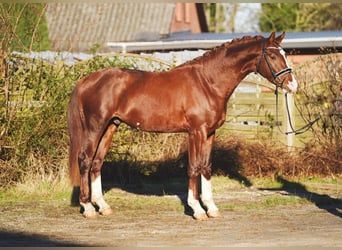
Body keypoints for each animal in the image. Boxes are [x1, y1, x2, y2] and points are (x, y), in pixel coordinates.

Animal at [66, 31, 296, 221]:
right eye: (273, 56)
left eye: (284, 54)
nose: (293, 85)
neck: (207, 82)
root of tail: (87, 80)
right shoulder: (196, 132)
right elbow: (194, 167)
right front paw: (197, 210)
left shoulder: (210, 133)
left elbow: (206, 167)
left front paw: (211, 208)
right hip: (95, 127)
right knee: (85, 160)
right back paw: (88, 208)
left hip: (110, 127)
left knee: (97, 162)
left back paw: (103, 206)